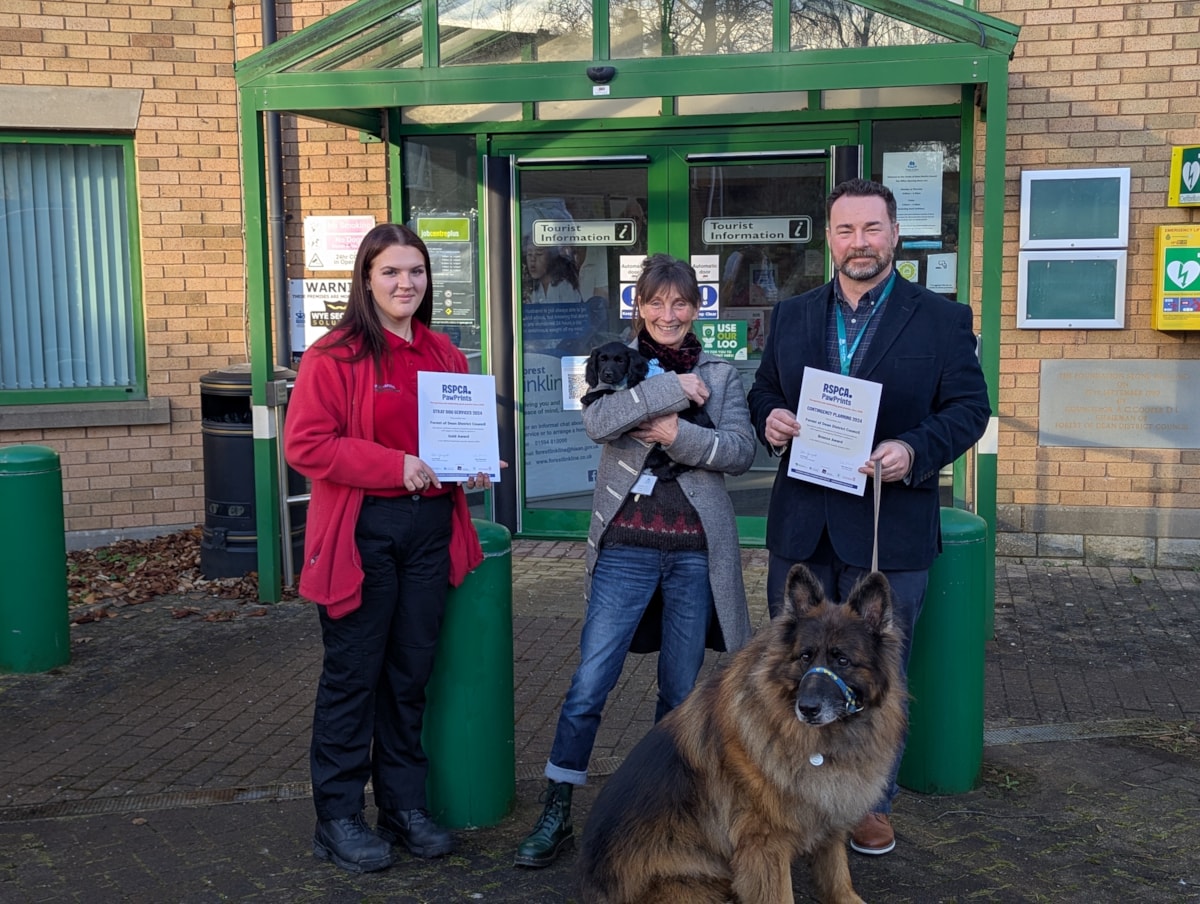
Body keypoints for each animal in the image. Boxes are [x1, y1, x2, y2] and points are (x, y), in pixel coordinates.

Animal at [576, 561, 902, 897]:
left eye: (842, 660)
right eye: (805, 656)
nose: (808, 708)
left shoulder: (829, 823)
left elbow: (838, 881)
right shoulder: (765, 846)